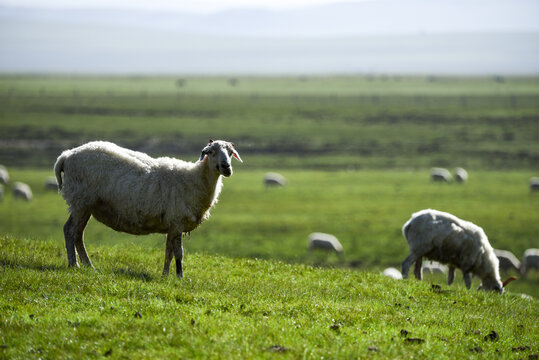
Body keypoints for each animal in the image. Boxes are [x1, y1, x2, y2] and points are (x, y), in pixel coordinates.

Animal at [53, 139, 244, 278]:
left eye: (230, 153)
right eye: (211, 152)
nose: (227, 168)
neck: (194, 179)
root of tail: (67, 155)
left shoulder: (172, 226)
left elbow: (169, 253)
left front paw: (165, 276)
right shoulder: (177, 222)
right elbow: (179, 253)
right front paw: (180, 277)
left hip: (85, 206)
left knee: (78, 234)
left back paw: (88, 265)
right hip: (80, 201)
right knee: (70, 230)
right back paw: (74, 264)